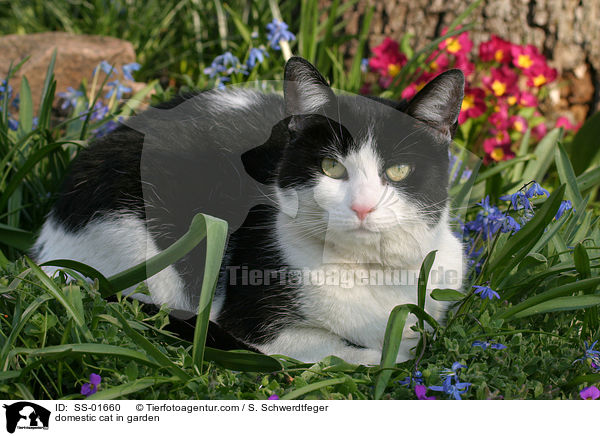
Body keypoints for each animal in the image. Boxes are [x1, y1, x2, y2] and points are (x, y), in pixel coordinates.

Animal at [32, 57, 466, 364]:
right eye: (331, 167)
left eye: (398, 171)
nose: (362, 206)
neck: (369, 270)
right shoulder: (256, 323)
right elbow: (344, 353)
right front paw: (385, 354)